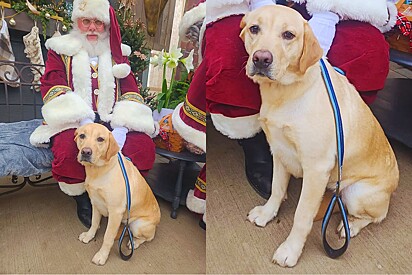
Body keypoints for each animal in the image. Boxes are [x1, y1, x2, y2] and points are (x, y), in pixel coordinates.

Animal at [75, 124, 160, 266]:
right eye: (82, 136)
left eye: (100, 139)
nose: (86, 152)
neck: (98, 170)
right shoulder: (95, 203)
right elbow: (94, 223)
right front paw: (89, 235)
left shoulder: (115, 212)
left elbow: (107, 237)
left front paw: (102, 256)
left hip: (138, 225)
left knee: (148, 237)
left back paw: (134, 242)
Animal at [241, 5, 400, 268]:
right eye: (255, 28)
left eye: (288, 35)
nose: (261, 58)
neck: (284, 92)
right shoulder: (279, 152)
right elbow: (276, 189)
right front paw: (266, 213)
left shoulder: (316, 169)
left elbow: (301, 215)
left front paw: (291, 250)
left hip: (357, 192)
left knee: (375, 216)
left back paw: (350, 227)